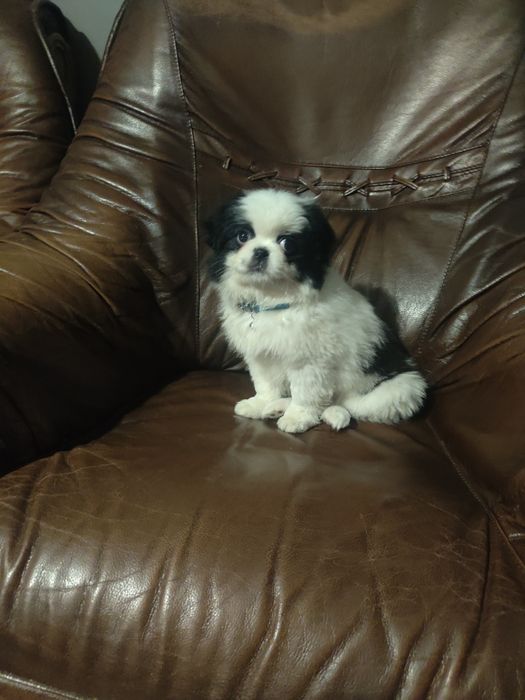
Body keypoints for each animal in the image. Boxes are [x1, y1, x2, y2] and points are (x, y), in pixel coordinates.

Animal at [206, 189, 427, 434]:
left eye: (287, 243)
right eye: (242, 236)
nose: (261, 252)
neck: (272, 298)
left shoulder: (310, 360)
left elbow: (305, 393)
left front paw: (298, 418)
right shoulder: (262, 355)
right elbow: (266, 383)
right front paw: (261, 403)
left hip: (402, 389)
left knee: (349, 403)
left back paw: (330, 413)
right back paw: (278, 406)